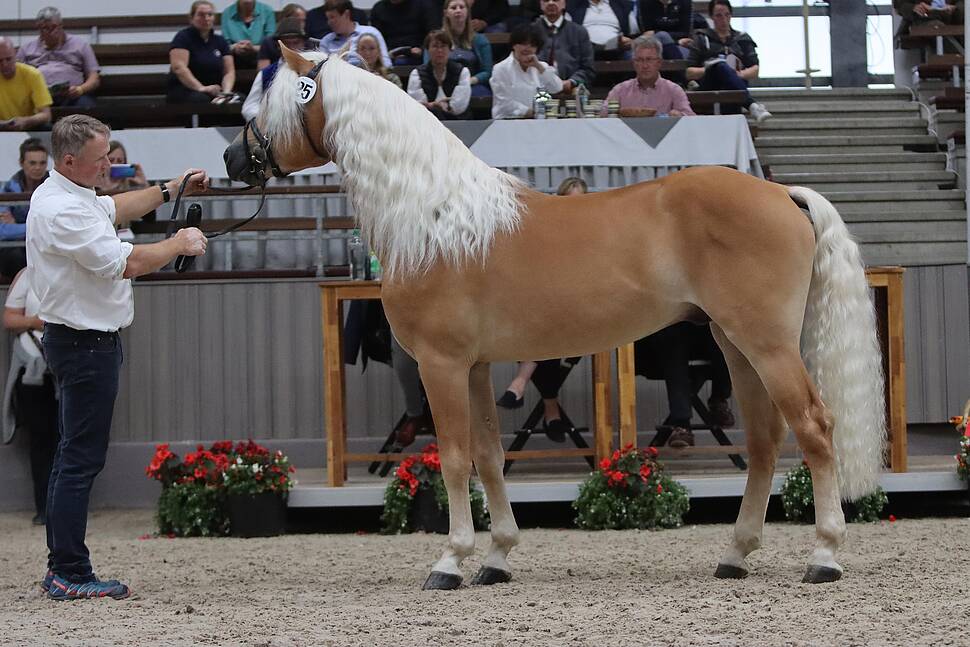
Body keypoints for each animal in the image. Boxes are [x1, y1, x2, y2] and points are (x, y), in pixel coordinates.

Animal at [224, 46, 886, 589]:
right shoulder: (473, 368)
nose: (233, 157)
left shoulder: (442, 364)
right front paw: (496, 558)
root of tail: (781, 194)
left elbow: (455, 459)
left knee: (814, 427)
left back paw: (824, 556)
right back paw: (735, 555)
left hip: (767, 344)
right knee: (765, 440)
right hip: (734, 343)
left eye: (270, 101)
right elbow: (490, 457)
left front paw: (451, 561)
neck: (436, 219)